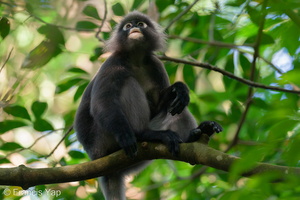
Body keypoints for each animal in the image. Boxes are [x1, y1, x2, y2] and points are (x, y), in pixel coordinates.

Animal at [74, 11, 221, 200]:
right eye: (128, 26)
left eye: (141, 24)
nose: (134, 28)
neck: (135, 59)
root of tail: (94, 156)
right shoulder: (113, 63)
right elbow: (101, 103)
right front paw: (126, 136)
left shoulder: (154, 64)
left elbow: (161, 104)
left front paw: (180, 89)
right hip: (103, 141)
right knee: (127, 83)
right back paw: (142, 134)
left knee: (178, 109)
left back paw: (196, 134)